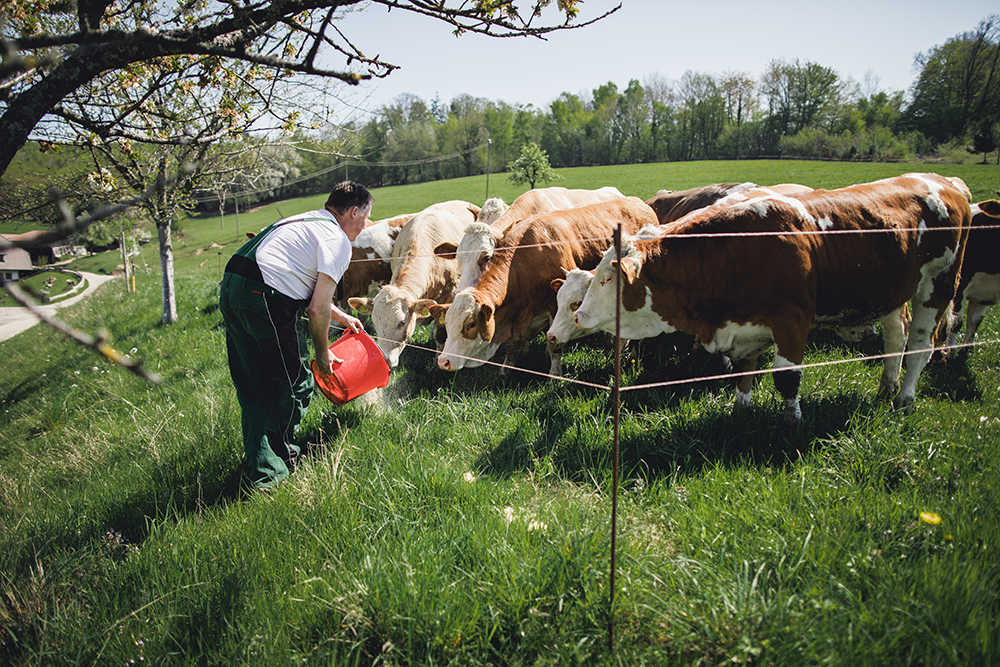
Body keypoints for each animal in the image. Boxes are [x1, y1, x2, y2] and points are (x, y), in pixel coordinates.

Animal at [348, 200, 480, 367]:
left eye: (402, 322)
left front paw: (437, 364)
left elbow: (441, 331)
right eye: (375, 323)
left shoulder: (450, 297)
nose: (386, 359)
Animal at [573, 173, 972, 423]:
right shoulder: (743, 323)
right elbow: (744, 372)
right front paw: (741, 409)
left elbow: (787, 378)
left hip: (937, 286)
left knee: (919, 345)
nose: (579, 316)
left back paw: (904, 399)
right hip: (892, 293)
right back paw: (886, 387)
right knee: (895, 338)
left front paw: (792, 420)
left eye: (607, 278)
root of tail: (944, 184)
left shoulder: (792, 319)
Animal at [945, 199, 1000, 355]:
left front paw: (967, 347)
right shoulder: (958, 287)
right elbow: (956, 322)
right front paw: (949, 351)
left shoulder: (985, 296)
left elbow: (975, 321)